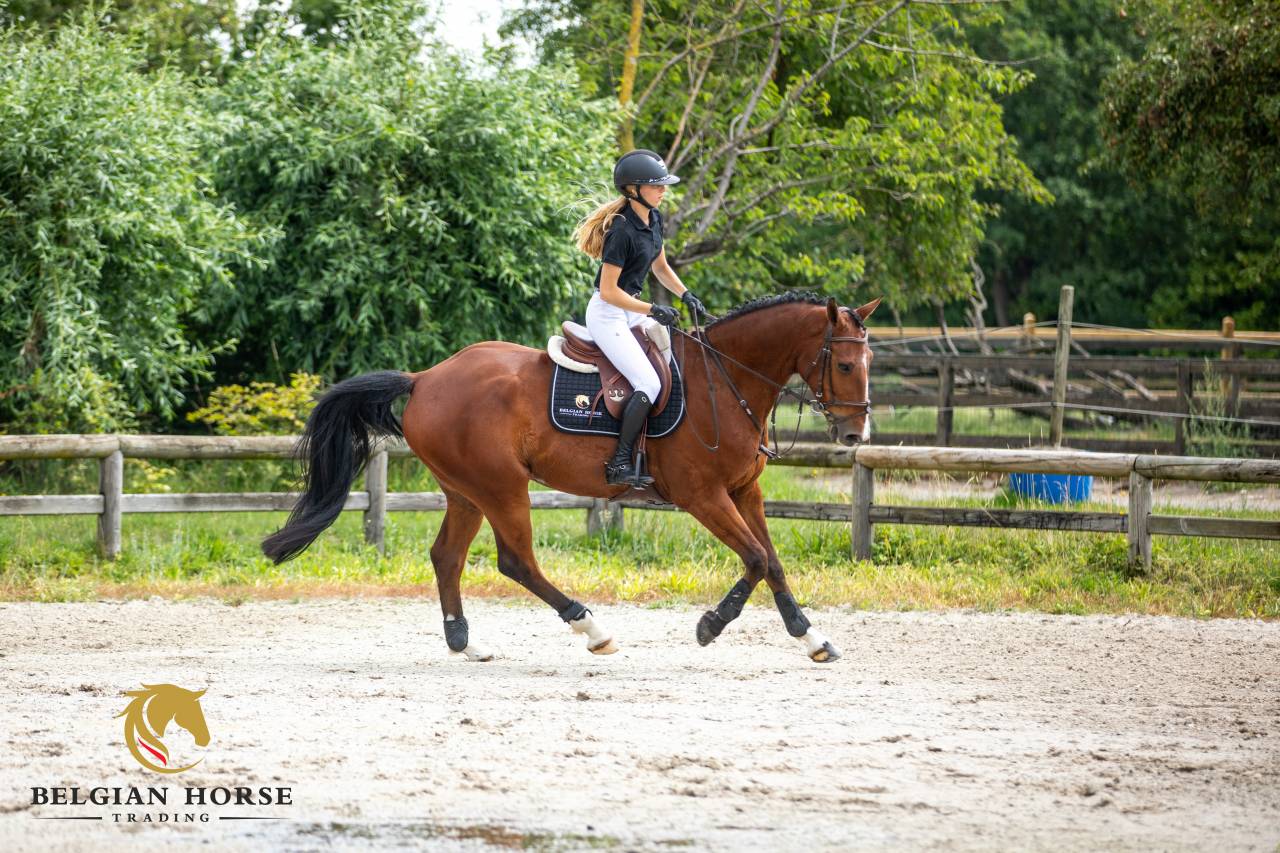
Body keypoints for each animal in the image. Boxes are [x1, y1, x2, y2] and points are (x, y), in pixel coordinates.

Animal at [262, 291, 879, 664]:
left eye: (869, 364)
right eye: (846, 364)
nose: (856, 435)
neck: (724, 379)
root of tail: (426, 378)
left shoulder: (743, 491)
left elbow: (771, 562)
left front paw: (812, 637)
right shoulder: (702, 495)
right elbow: (752, 558)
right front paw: (710, 625)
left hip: (465, 490)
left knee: (447, 557)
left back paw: (465, 644)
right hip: (500, 487)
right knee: (515, 561)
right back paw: (591, 627)